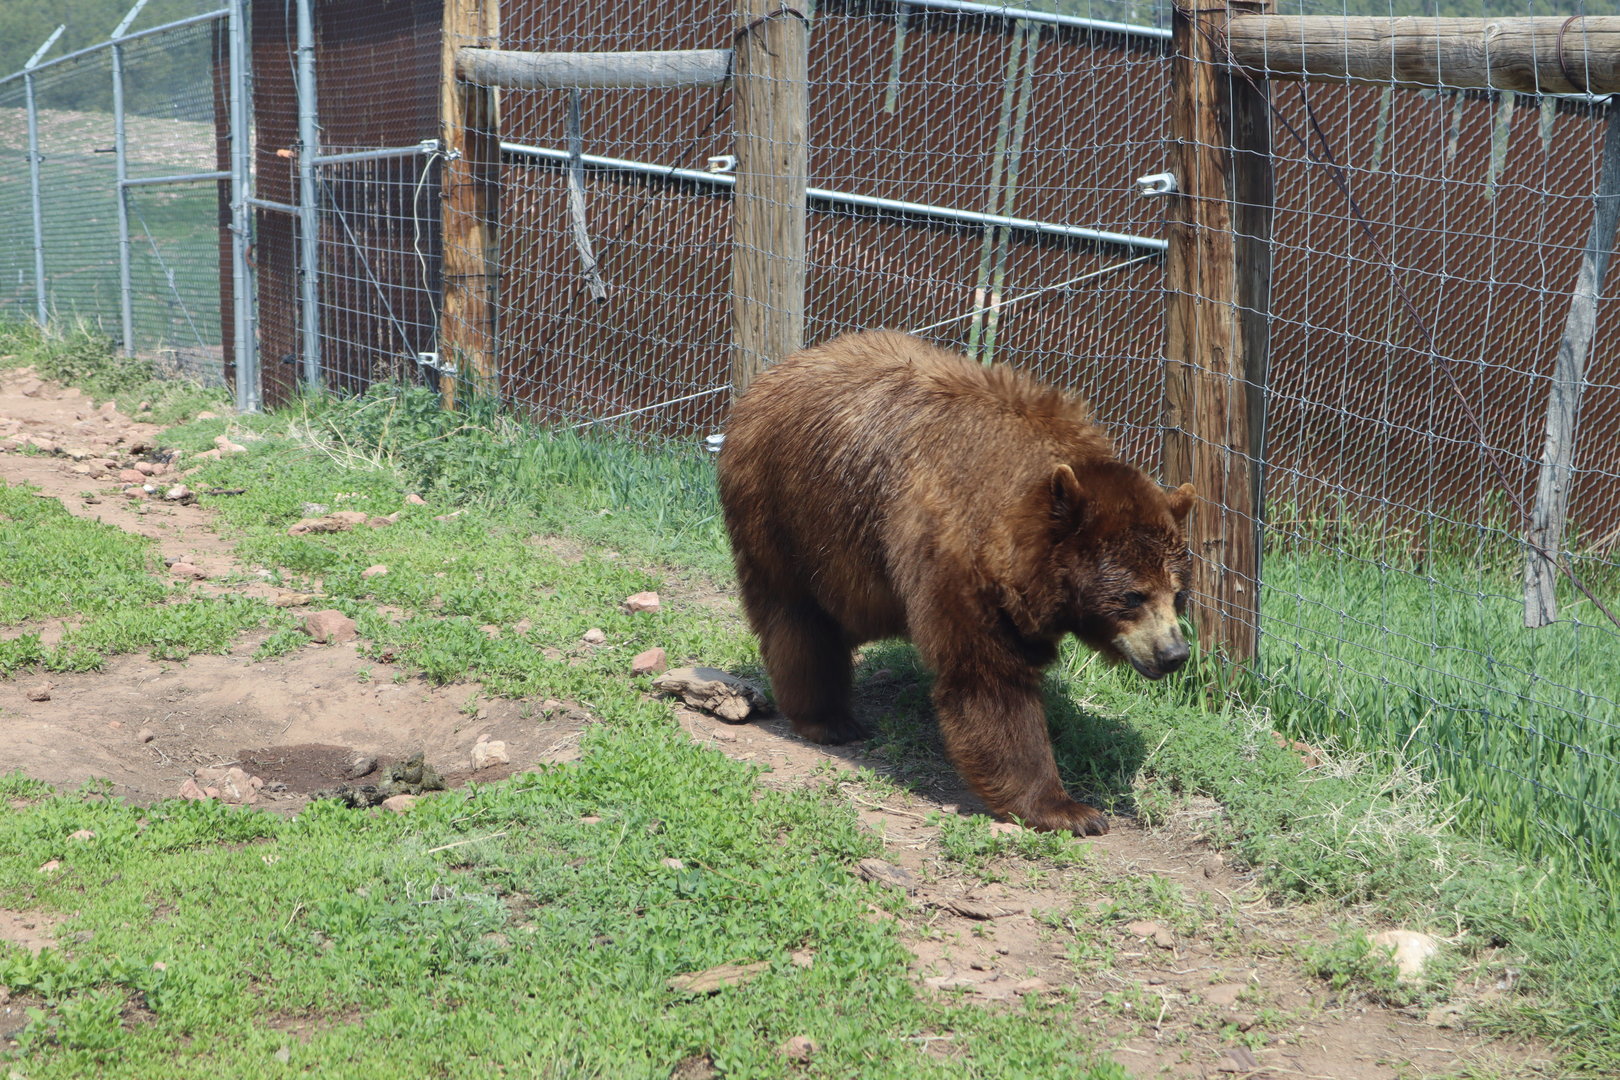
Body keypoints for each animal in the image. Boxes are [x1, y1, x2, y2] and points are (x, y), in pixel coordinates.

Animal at [716, 330, 1196, 835]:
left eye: (1178, 592)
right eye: (1132, 595)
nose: (1174, 653)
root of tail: (769, 376)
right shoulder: (955, 553)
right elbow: (987, 677)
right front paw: (1068, 809)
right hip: (786, 512)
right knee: (799, 620)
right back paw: (829, 719)